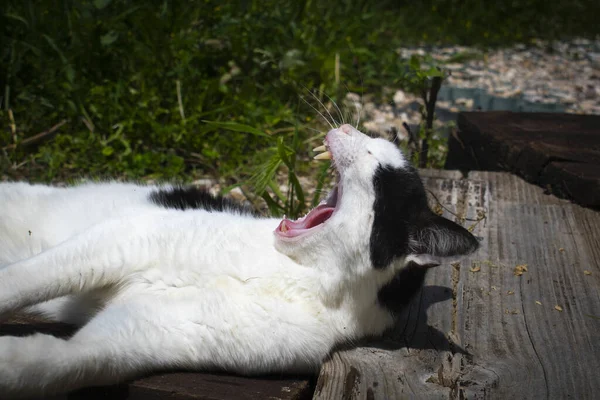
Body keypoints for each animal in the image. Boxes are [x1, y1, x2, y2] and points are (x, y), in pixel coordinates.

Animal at [0, 123, 478, 398]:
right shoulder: (120, 241)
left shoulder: (142, 333)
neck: (290, 272)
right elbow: (22, 281)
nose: (344, 124)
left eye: (374, 160)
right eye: (375, 147)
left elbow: (59, 362)